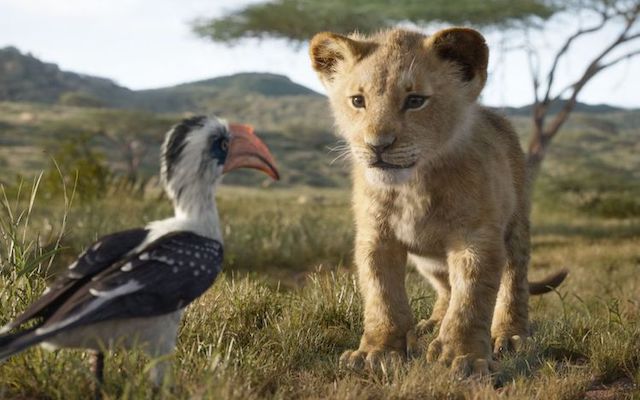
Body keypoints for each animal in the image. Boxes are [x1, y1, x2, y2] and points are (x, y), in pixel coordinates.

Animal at [309, 27, 567, 375]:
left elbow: (471, 299)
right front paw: (377, 352)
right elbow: (382, 296)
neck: (413, 186)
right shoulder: (376, 237)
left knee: (514, 281)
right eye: (358, 101)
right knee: (446, 287)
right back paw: (430, 324)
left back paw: (510, 335)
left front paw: (463, 357)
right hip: (428, 260)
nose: (377, 145)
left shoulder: (476, 238)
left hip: (516, 226)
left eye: (415, 101)